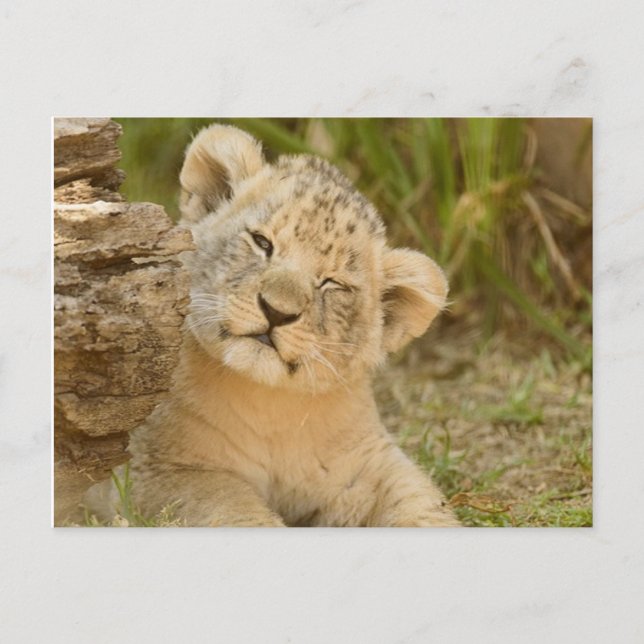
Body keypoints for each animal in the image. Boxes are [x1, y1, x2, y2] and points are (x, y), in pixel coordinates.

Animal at [84, 124, 460, 527]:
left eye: (333, 284)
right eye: (262, 242)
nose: (277, 312)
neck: (270, 409)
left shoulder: (365, 464)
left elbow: (421, 501)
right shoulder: (156, 469)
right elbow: (234, 510)